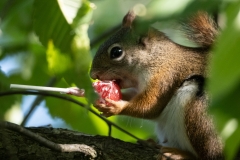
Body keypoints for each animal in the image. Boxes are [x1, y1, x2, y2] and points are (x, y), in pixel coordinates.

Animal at [90, 10, 223, 160]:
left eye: (116, 52)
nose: (93, 75)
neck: (157, 58)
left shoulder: (165, 78)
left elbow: (150, 106)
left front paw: (116, 107)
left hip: (201, 113)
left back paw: (181, 154)